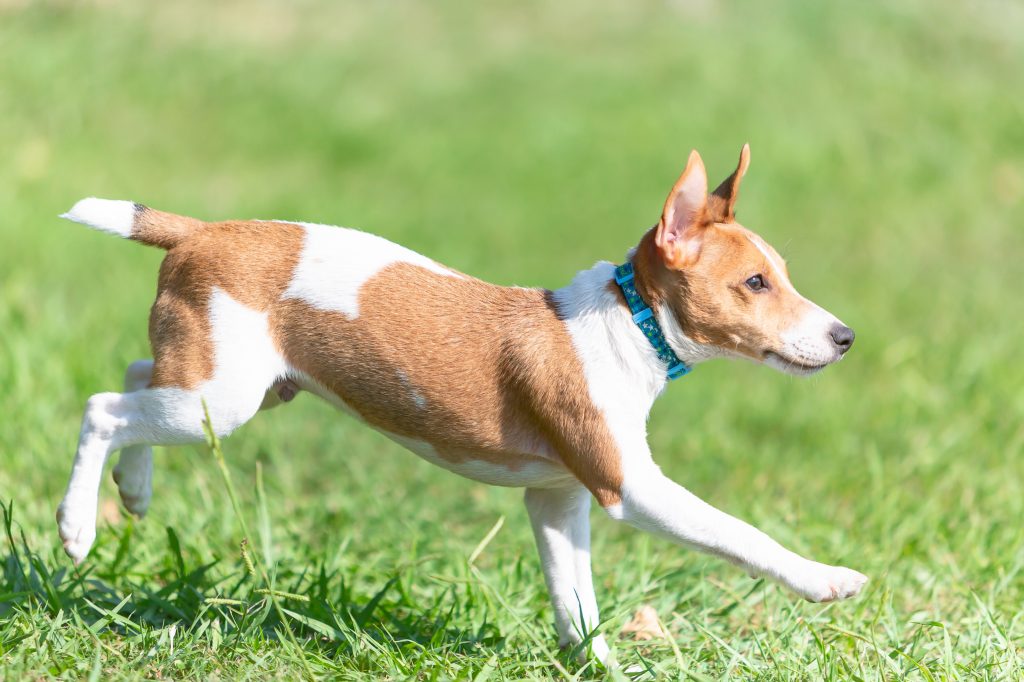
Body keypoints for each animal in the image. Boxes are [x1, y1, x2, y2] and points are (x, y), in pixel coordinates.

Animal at [58, 146, 864, 659]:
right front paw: (826, 578)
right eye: (755, 283)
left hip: (230, 384)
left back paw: (133, 488)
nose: (845, 336)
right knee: (102, 407)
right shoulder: (629, 486)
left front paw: (597, 662)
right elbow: (741, 535)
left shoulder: (557, 498)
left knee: (138, 373)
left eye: (781, 274)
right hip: (219, 402)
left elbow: (576, 602)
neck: (628, 323)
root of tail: (202, 232)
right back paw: (77, 525)